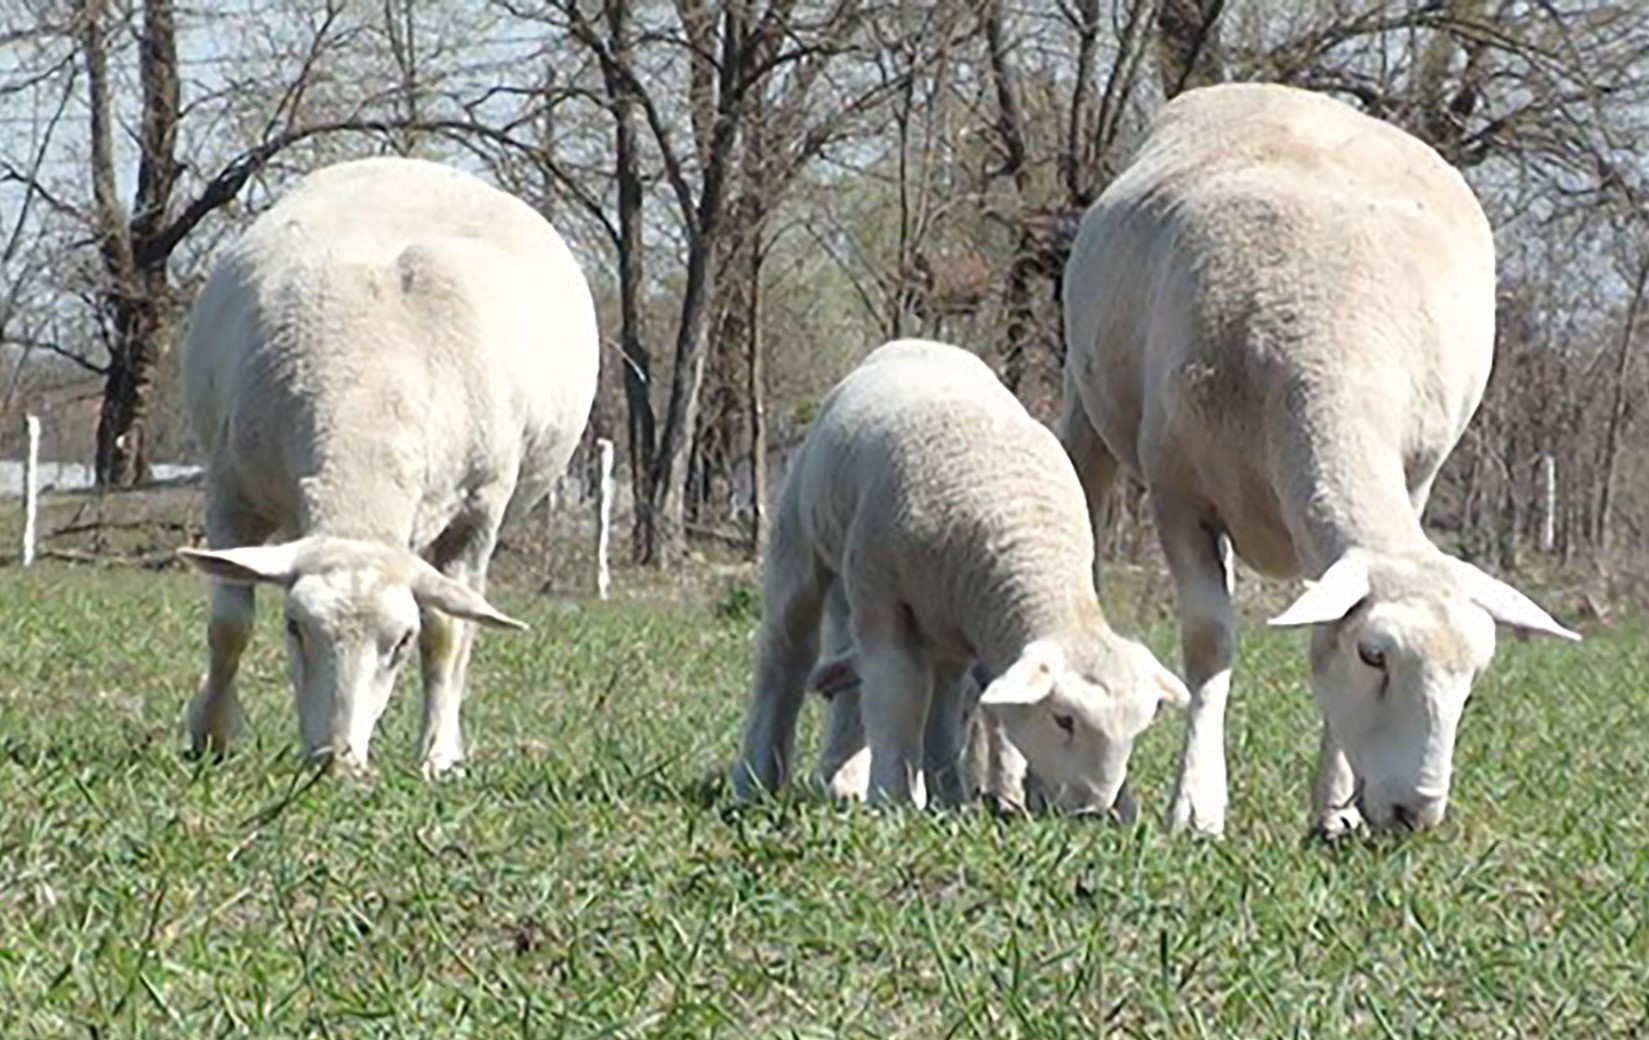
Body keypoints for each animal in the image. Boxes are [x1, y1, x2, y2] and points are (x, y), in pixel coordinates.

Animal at [175, 154, 600, 774]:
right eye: (294, 626)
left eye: (400, 642)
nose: (337, 763)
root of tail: (415, 163)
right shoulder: (231, 488)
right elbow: (229, 625)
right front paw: (213, 734)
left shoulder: (477, 514)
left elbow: (446, 636)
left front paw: (437, 756)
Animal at [735, 337, 1187, 810]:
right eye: (1063, 719)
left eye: (1137, 730)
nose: (1093, 810)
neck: (1023, 529)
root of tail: (922, 342)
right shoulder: (883, 597)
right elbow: (901, 693)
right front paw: (895, 797)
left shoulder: (953, 620)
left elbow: (946, 710)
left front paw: (949, 797)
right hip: (800, 538)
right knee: (786, 652)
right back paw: (756, 777)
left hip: (886, 593)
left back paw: (845, 781)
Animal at [1061, 85, 1576, 843]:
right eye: (1375, 655)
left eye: (1473, 677)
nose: (1414, 813)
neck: (1337, 349)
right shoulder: (1178, 494)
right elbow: (1210, 640)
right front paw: (1197, 806)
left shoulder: (1405, 487)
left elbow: (1318, 637)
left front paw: (1333, 808)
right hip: (1086, 401)